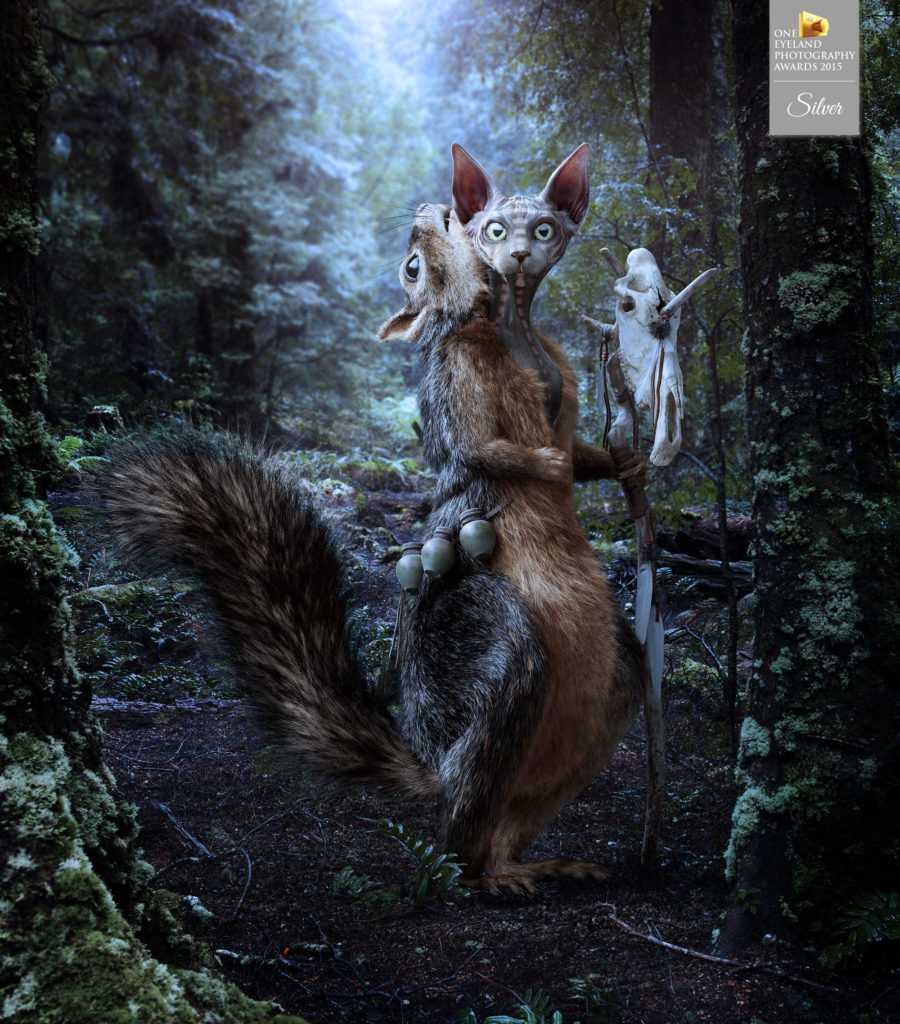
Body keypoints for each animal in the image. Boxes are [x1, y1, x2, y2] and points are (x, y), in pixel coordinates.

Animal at [104, 157, 648, 895]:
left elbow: (585, 445)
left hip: (608, 695)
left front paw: (629, 462)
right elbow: (478, 449)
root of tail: (433, 762)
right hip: (495, 640)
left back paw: (536, 861)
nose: (429, 214)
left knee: (508, 819)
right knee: (458, 841)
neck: (508, 324)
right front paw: (550, 462)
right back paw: (483, 875)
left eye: (542, 228)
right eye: (413, 267)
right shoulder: (459, 373)